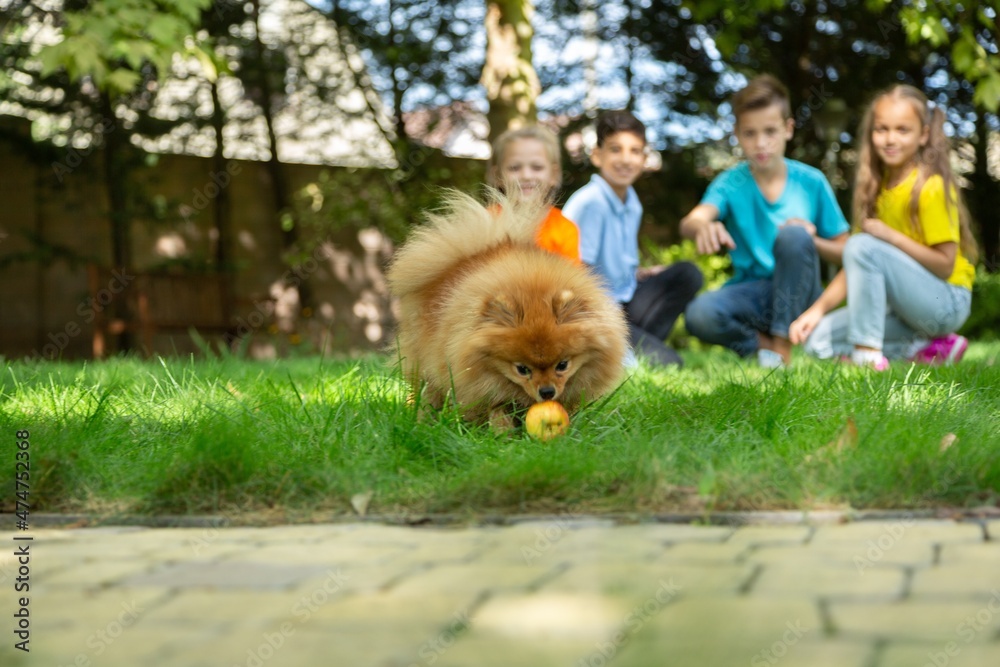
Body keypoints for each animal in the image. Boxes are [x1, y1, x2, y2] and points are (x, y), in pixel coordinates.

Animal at [388, 192, 628, 434]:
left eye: (563, 365)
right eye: (522, 369)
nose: (547, 392)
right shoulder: (482, 386)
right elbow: (496, 411)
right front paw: (501, 435)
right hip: (424, 365)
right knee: (426, 393)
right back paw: (423, 422)